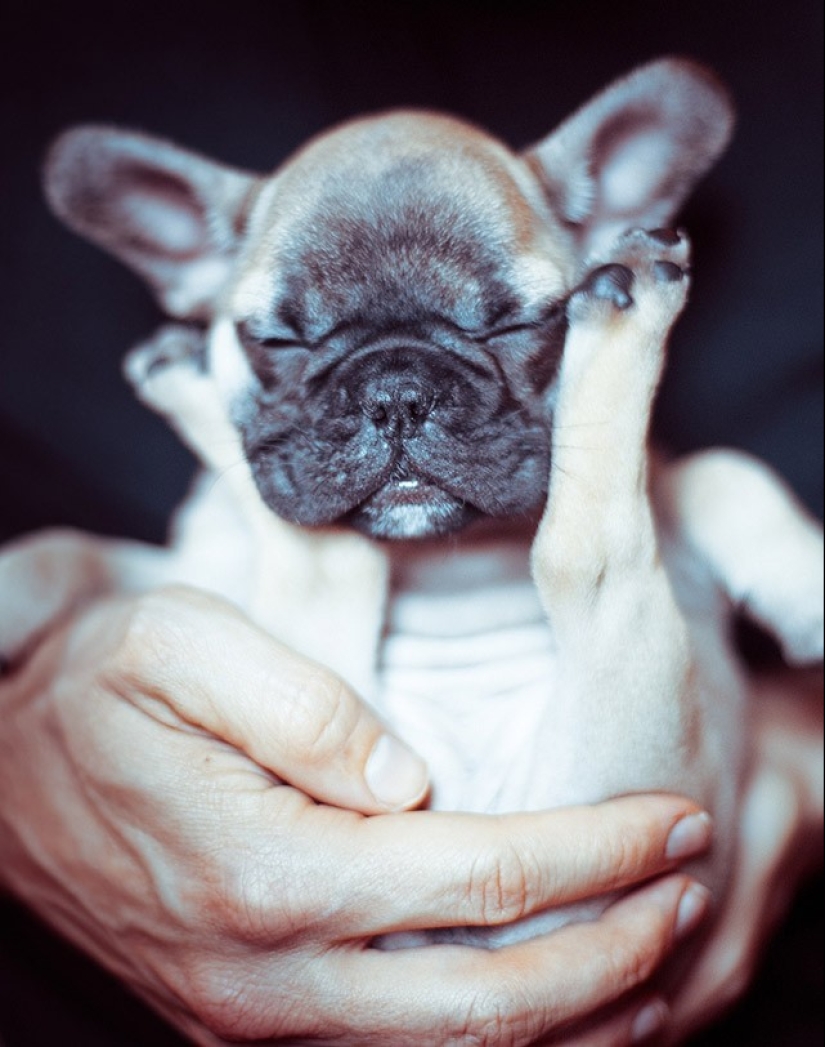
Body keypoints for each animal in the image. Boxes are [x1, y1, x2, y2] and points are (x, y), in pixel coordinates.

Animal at [3, 61, 820, 954]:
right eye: (277, 342)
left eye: (516, 324)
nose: (395, 392)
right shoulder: (191, 565)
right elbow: (83, 550)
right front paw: (15, 590)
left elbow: (716, 468)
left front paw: (799, 575)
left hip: (654, 761)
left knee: (570, 556)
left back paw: (629, 298)